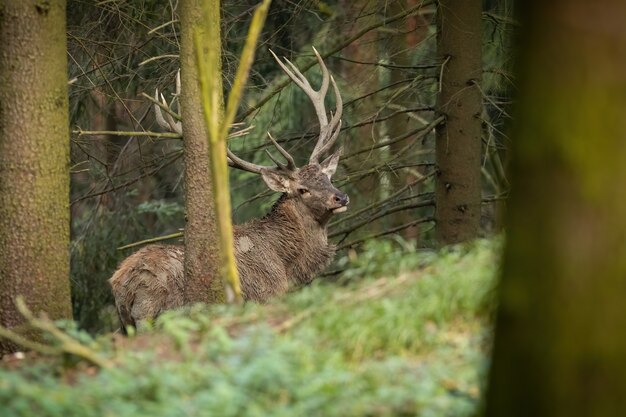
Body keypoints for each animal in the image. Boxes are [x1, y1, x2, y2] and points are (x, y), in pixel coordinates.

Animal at [109, 48, 348, 328]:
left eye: (327, 177)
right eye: (302, 190)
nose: (340, 198)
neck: (287, 266)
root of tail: (122, 284)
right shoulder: (264, 297)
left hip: (125, 323)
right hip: (153, 314)